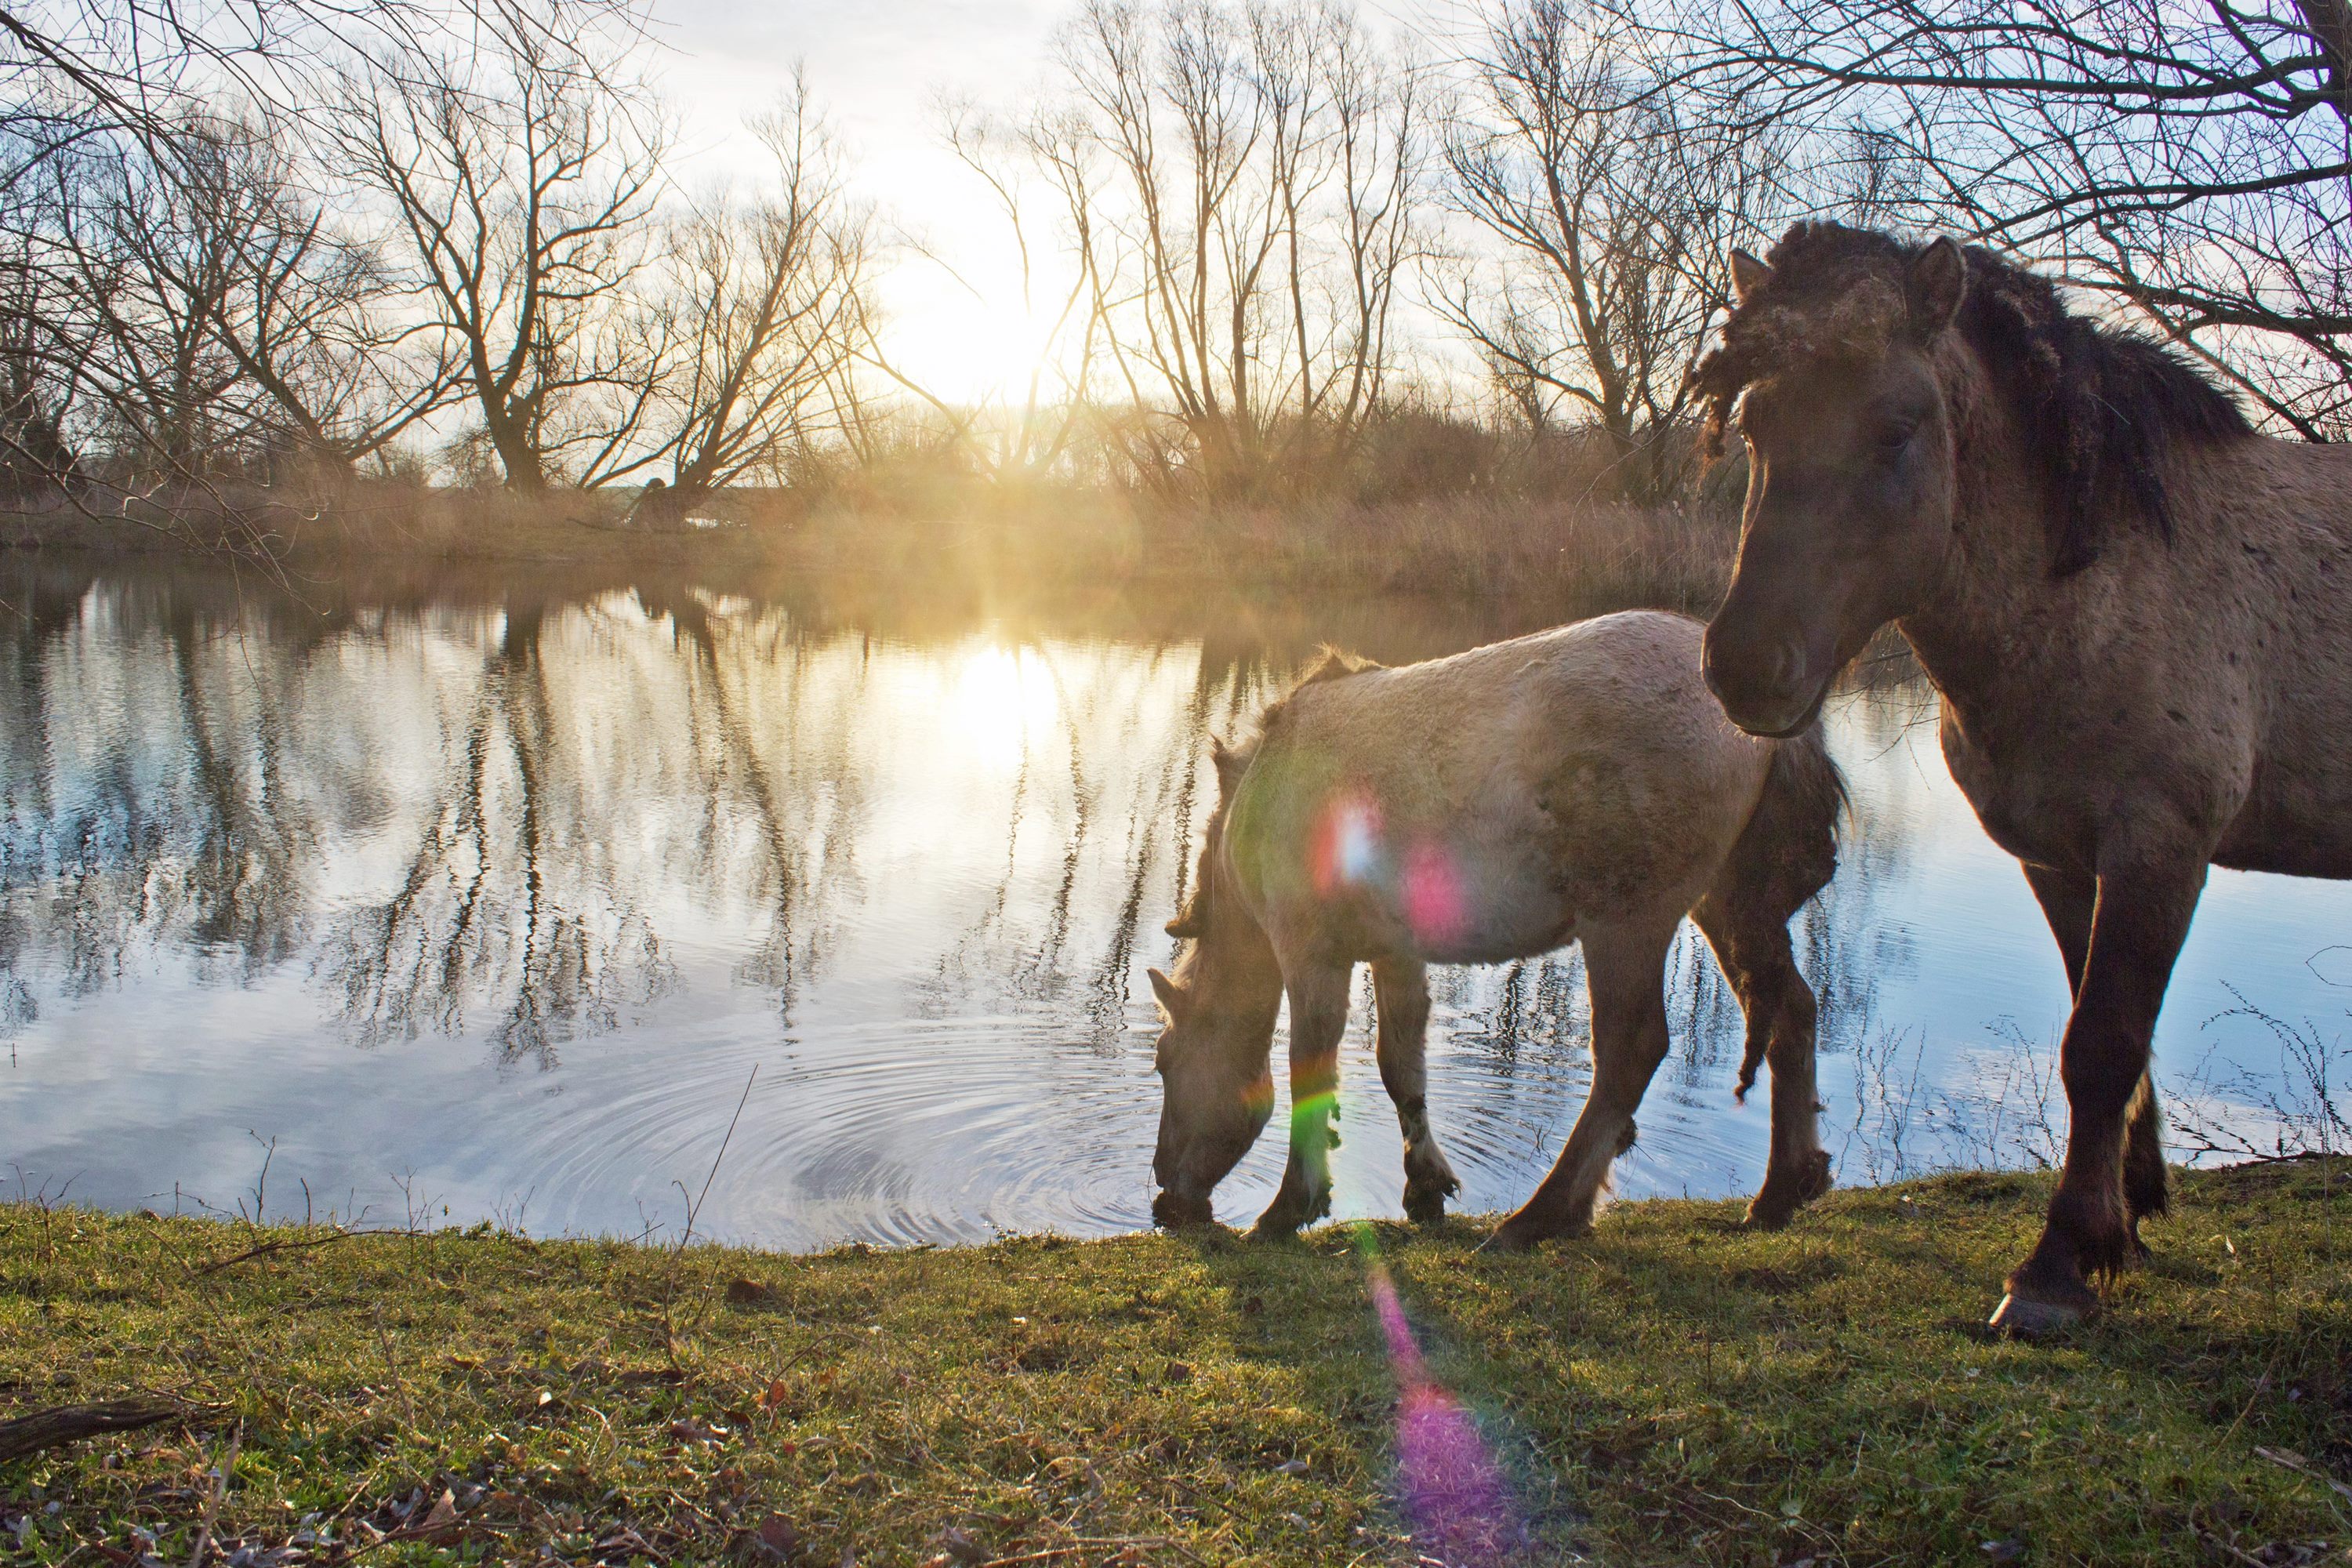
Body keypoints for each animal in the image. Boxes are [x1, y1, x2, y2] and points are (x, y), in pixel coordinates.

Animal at [1145, 610, 1846, 1245]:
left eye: (1163, 1060)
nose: (1164, 1188)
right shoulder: (1395, 952)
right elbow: (1401, 1065)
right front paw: (1425, 1184)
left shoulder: (1310, 952)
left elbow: (1310, 1070)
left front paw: (1291, 1206)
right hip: (1730, 909)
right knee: (1792, 1012)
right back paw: (1783, 1190)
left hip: (1627, 923)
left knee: (1631, 1050)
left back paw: (1543, 1216)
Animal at [1692, 221, 2352, 1335]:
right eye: (1754, 421)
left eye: (1898, 426)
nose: (1744, 665)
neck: (2105, 583)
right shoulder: (2059, 852)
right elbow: (2107, 1038)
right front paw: (2122, 1218)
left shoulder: (2159, 848)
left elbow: (2103, 1041)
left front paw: (2055, 1267)